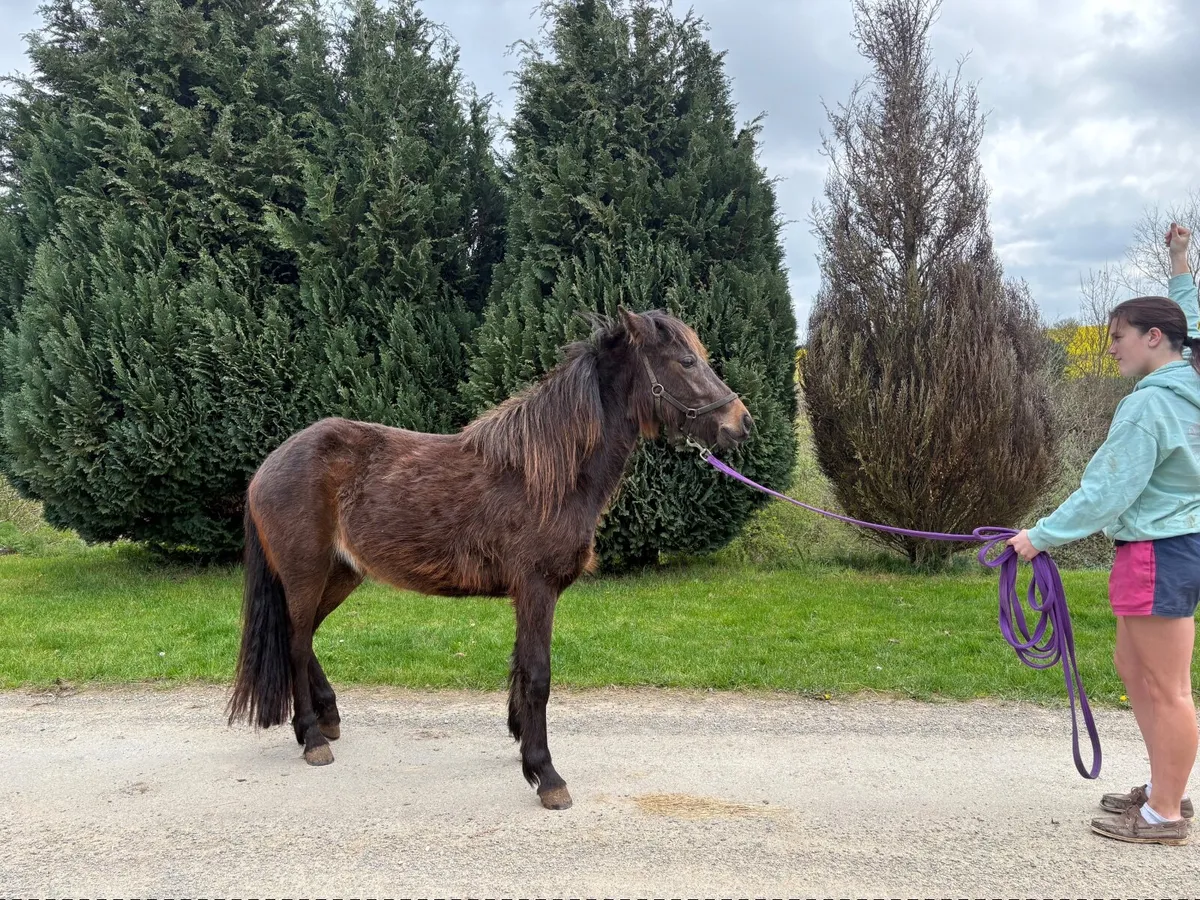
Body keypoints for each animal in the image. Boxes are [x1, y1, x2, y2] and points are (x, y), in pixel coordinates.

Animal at [226, 307, 753, 810]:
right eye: (685, 362)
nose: (741, 422)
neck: (547, 473)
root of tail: (267, 467)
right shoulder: (537, 589)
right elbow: (538, 676)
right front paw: (546, 775)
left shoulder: (528, 594)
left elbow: (520, 668)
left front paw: (522, 743)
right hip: (306, 574)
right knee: (296, 643)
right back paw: (313, 738)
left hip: (340, 575)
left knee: (305, 637)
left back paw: (328, 718)